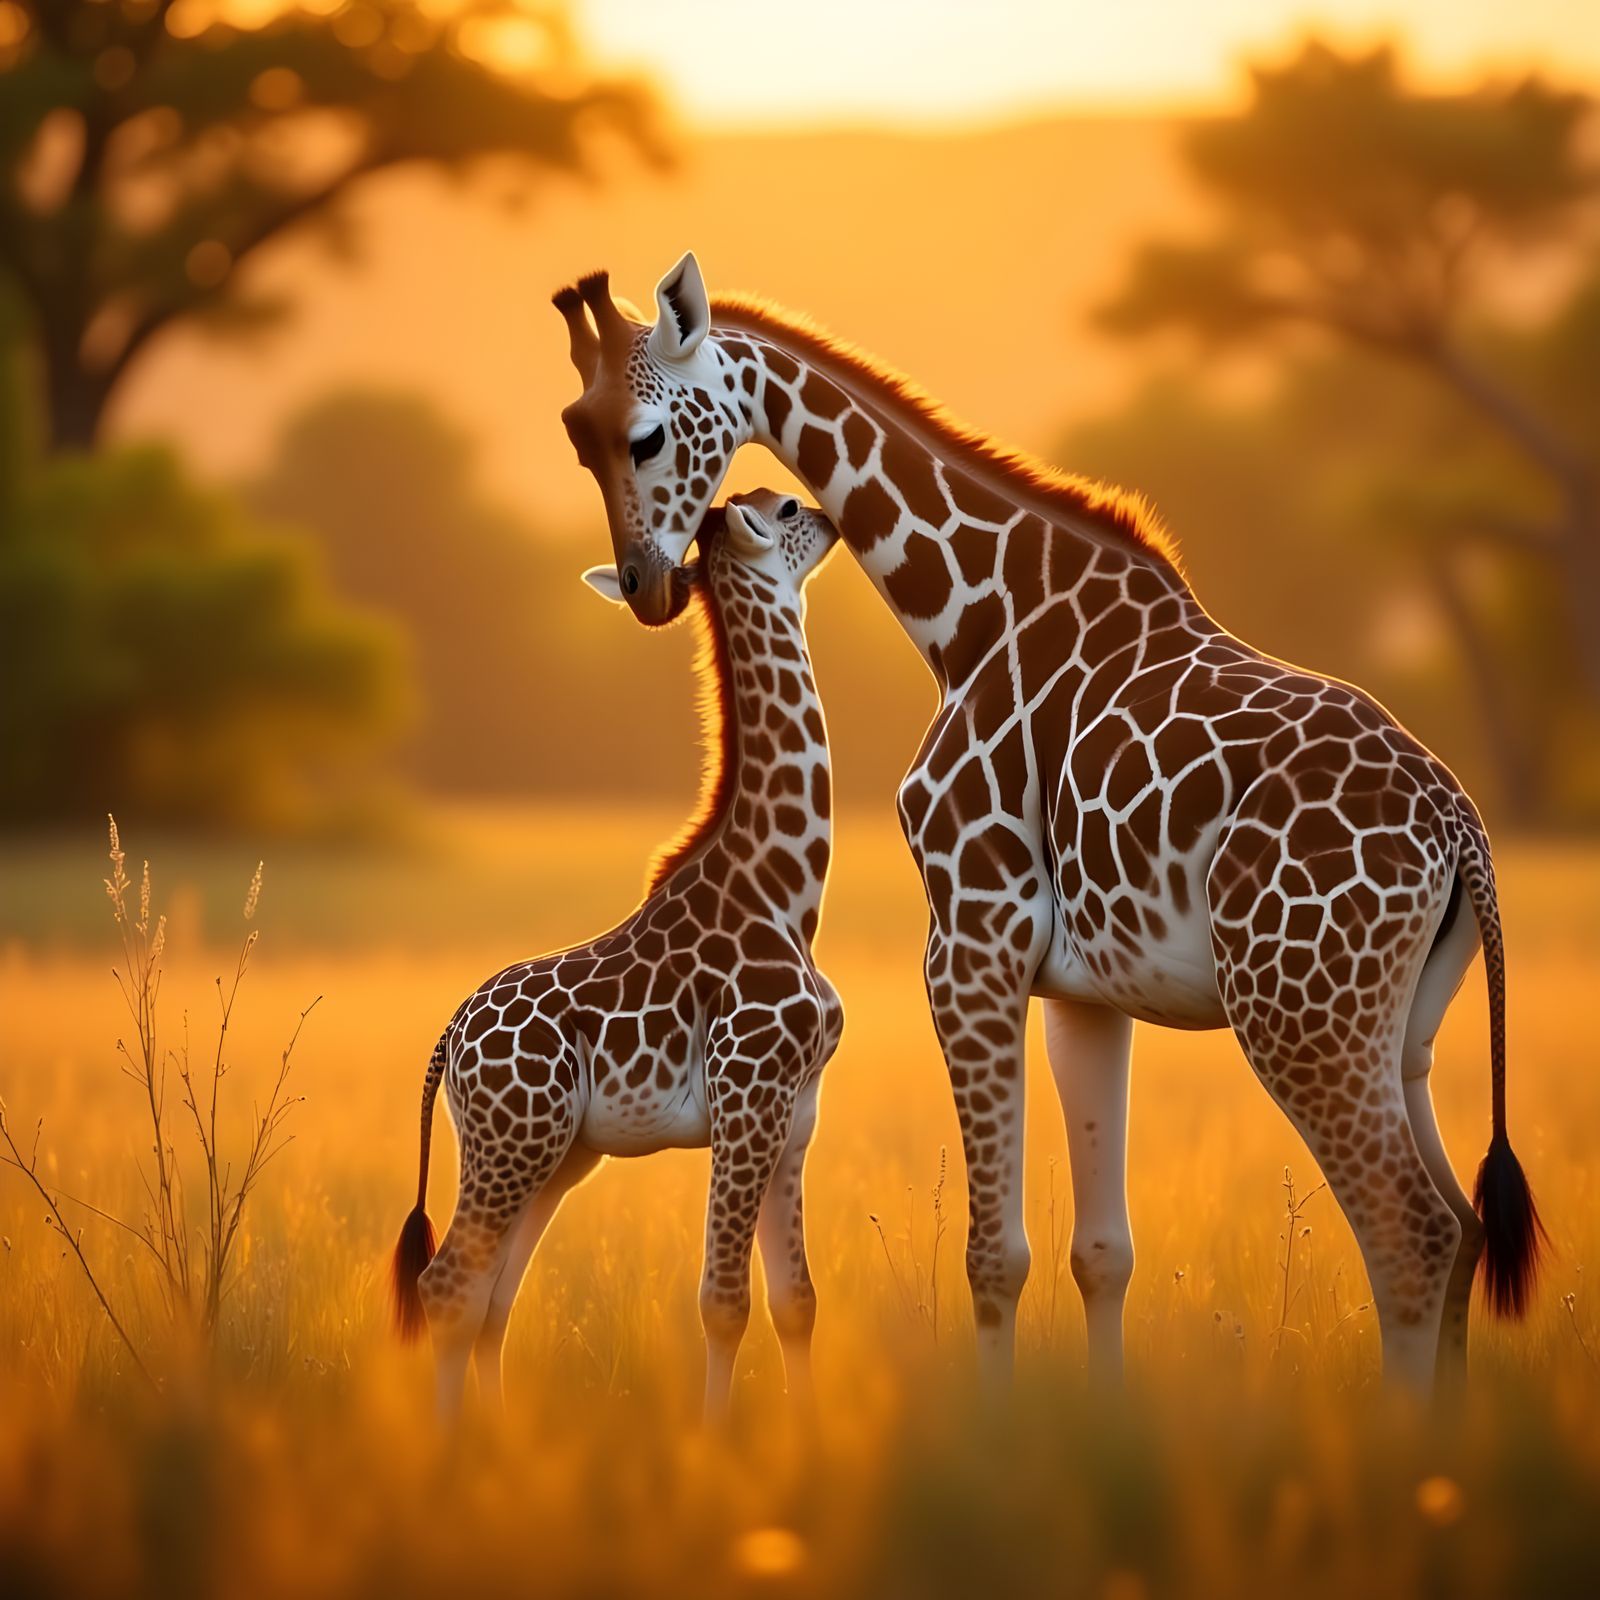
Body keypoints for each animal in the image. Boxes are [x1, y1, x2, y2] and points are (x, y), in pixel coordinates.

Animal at [391, 490, 845, 1420]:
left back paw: (496, 1440)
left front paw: (807, 1435)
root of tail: (449, 1038)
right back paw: (449, 1446)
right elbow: (723, 1301)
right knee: (449, 1286)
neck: (789, 890)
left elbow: (798, 1302)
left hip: (559, 1151)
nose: (833, 518)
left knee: (493, 1299)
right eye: (785, 509)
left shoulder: (796, 1112)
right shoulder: (748, 1096)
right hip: (515, 1138)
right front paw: (713, 1440)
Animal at [551, 254, 1545, 1395]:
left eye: (645, 436)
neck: (970, 613)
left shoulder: (970, 937)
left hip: (1300, 1010)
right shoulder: (1084, 983)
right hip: (1402, 1025)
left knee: (1412, 1234)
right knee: (1462, 1228)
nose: (645, 586)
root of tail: (1457, 828)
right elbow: (1101, 1249)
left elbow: (996, 1253)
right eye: (576, 435)